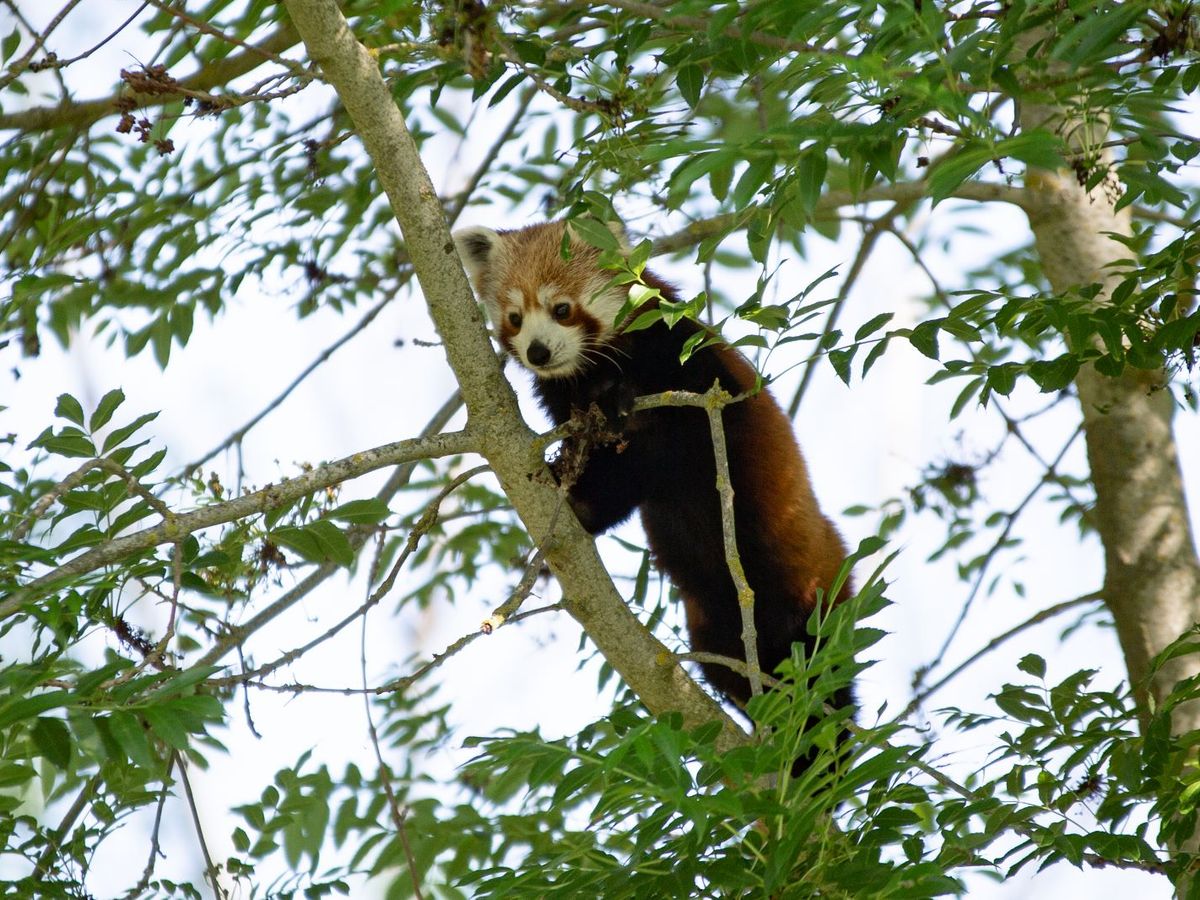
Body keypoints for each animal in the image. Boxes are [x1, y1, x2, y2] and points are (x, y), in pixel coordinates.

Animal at [451, 220, 854, 734]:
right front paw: (575, 497)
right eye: (515, 318)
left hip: (812, 592)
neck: (596, 370)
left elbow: (681, 432)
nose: (538, 352)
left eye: (562, 309)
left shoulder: (686, 360)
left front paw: (618, 403)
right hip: (714, 625)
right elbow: (617, 478)